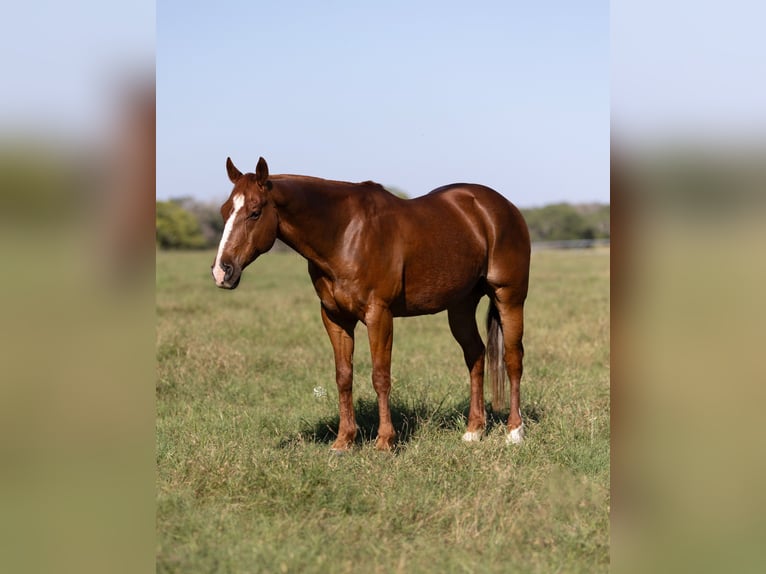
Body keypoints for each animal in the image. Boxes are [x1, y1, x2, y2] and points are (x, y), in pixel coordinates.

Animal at [213, 158, 532, 454]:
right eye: (225, 211)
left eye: (255, 212)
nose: (221, 271)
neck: (344, 233)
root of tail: (502, 207)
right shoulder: (335, 317)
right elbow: (344, 376)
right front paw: (343, 441)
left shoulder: (379, 314)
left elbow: (380, 376)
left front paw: (384, 442)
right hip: (460, 306)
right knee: (475, 355)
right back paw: (474, 430)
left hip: (509, 298)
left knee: (512, 359)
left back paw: (514, 432)